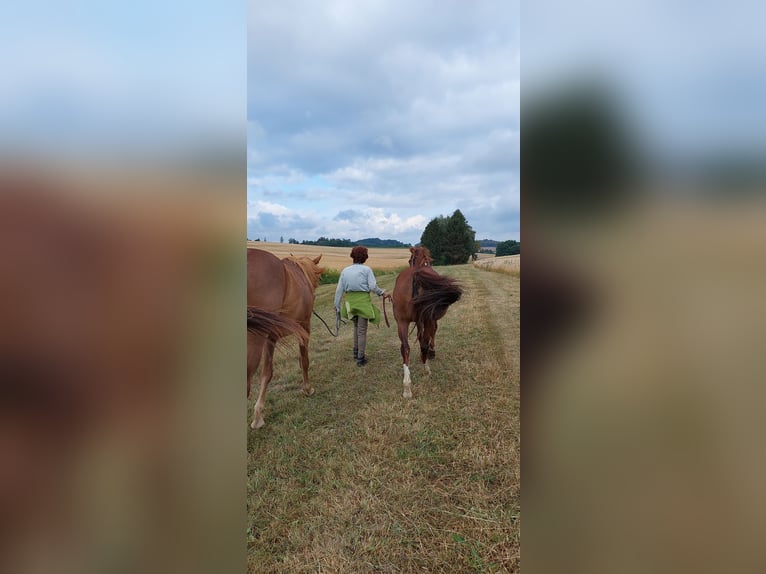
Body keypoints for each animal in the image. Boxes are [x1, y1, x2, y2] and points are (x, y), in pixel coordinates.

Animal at [243, 250, 320, 430]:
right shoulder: (304, 328)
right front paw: (307, 388)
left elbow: (267, 373)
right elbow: (304, 360)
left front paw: (258, 416)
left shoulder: (270, 338)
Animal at [396, 246, 462, 400]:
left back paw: (407, 388)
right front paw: (431, 353)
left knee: (405, 348)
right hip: (427, 319)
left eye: (409, 260)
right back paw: (427, 369)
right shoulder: (430, 320)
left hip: (401, 321)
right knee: (425, 342)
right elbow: (431, 335)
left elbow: (420, 339)